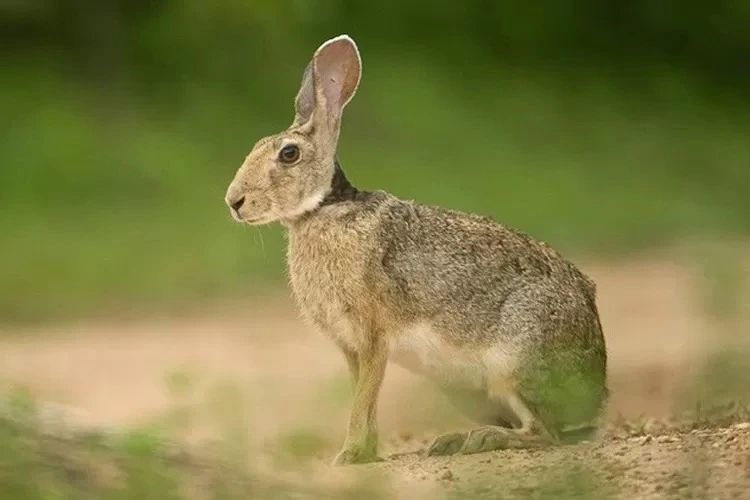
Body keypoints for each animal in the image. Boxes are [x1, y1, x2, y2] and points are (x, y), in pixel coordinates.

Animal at [225, 35, 608, 465]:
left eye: (288, 154)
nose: (234, 202)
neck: (323, 209)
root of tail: (594, 394)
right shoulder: (351, 348)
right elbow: (363, 399)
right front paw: (366, 453)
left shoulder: (374, 336)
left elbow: (362, 399)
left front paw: (348, 456)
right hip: (466, 392)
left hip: (514, 363)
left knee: (544, 433)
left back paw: (474, 440)